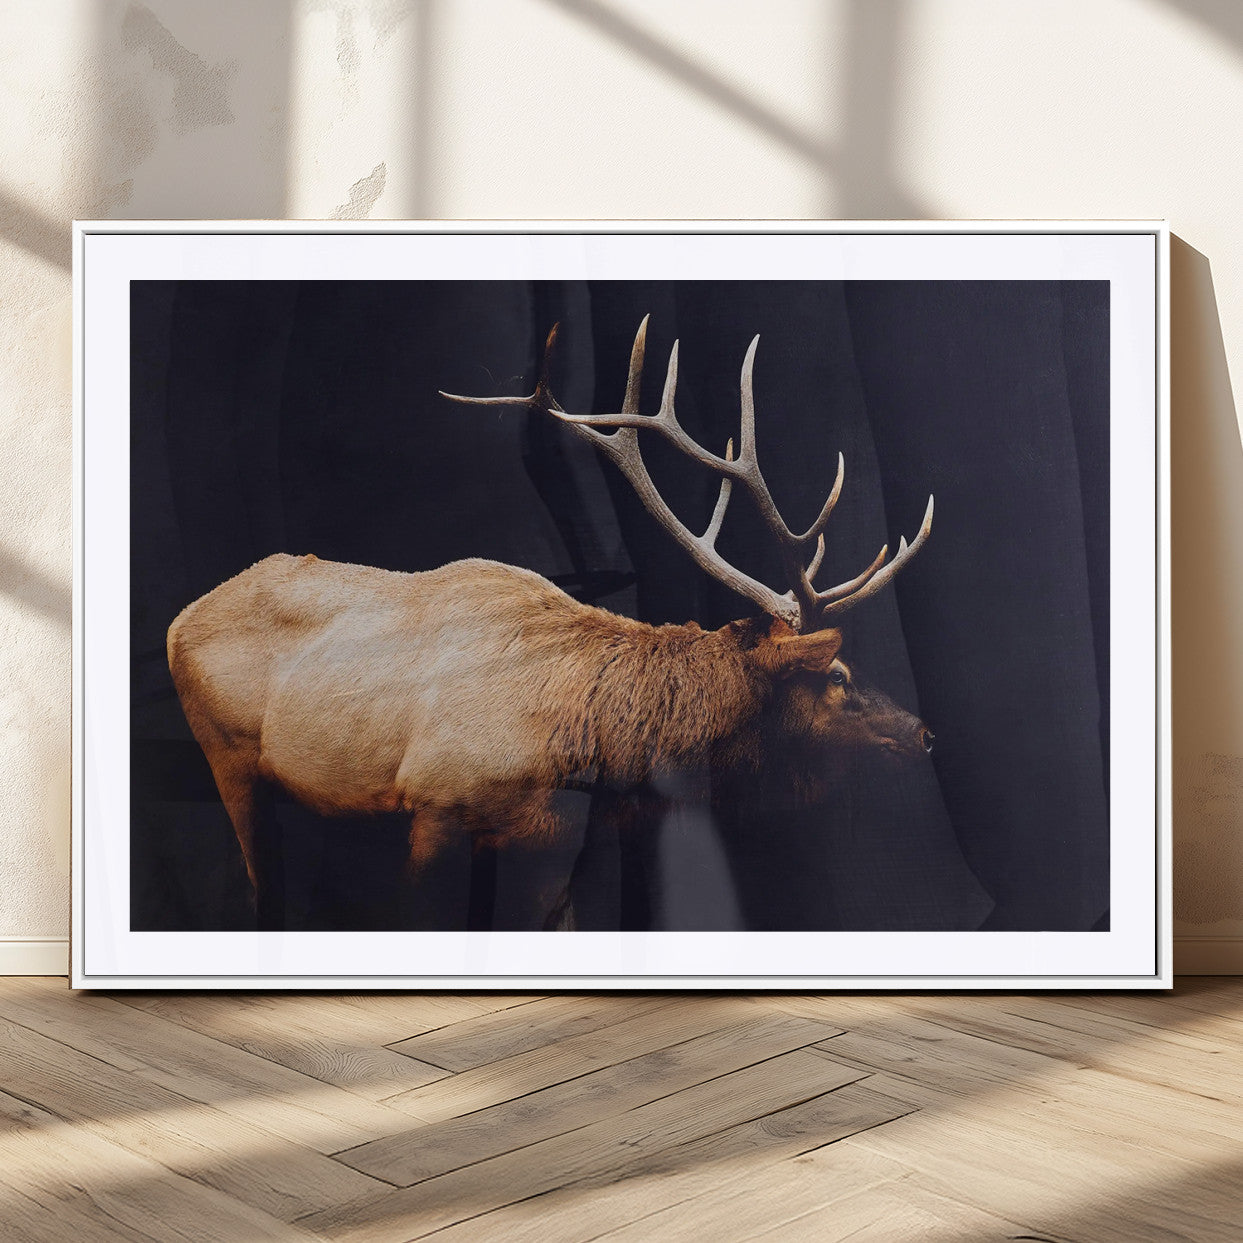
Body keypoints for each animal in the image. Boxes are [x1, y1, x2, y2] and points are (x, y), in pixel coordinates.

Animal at [167, 315, 935, 928]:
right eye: (837, 674)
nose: (924, 733)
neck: (597, 748)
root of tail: (179, 618)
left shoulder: (557, 840)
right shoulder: (434, 805)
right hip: (226, 754)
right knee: (257, 887)